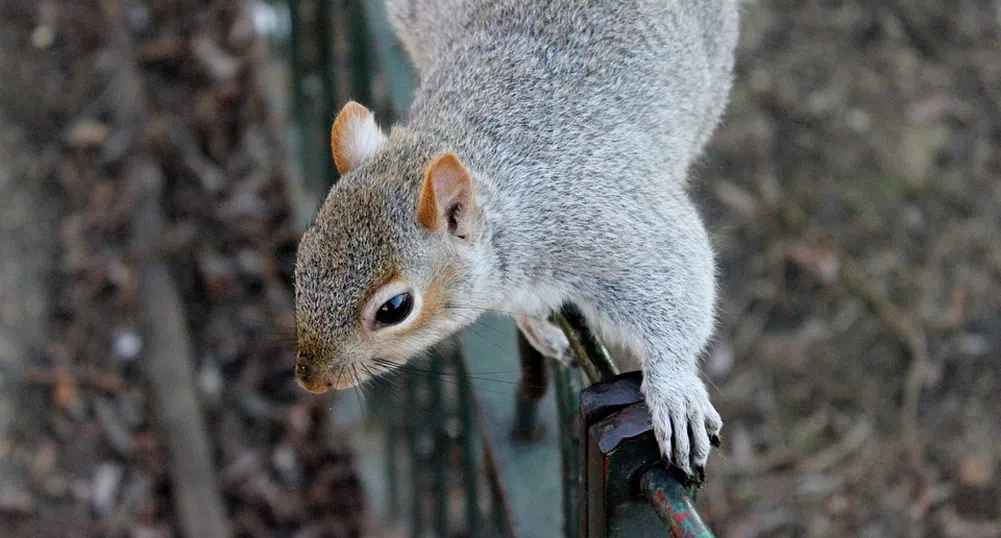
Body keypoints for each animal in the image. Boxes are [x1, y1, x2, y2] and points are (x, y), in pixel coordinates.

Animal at [292, 0, 744, 476]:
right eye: (303, 257)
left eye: (395, 308)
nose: (311, 380)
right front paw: (537, 328)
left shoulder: (609, 219)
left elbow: (673, 274)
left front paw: (674, 391)